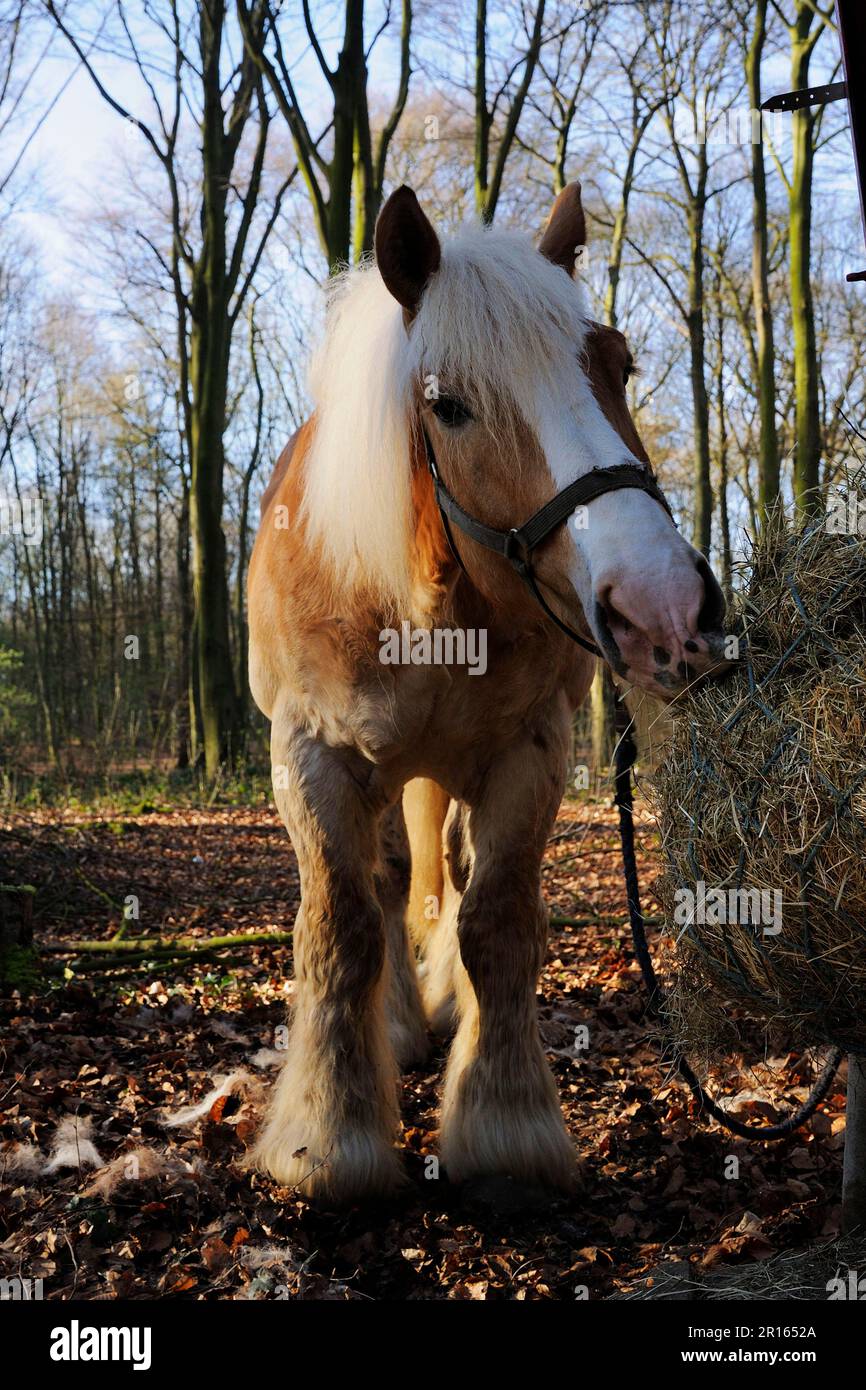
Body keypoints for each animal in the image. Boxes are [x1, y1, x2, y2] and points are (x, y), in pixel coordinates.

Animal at [247, 182, 728, 1206]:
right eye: (448, 405)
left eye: (619, 365)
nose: (663, 603)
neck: (428, 602)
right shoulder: (312, 755)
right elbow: (343, 926)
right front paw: (328, 1141)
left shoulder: (529, 752)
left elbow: (498, 924)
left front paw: (504, 1129)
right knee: (390, 881)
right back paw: (396, 1025)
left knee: (453, 876)